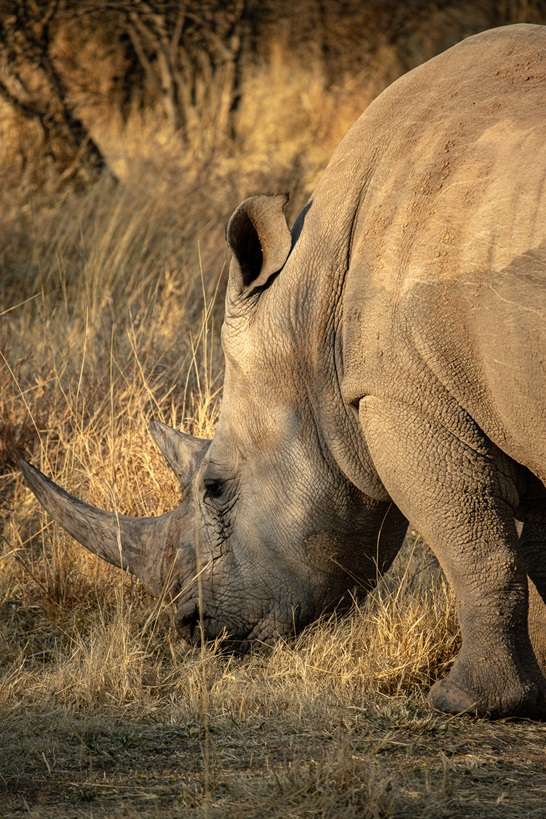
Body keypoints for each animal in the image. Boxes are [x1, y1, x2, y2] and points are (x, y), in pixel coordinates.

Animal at [21, 24, 546, 718]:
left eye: (215, 487)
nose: (192, 629)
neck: (310, 312)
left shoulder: (401, 394)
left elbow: (474, 544)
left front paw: (468, 703)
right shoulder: (503, 387)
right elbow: (540, 552)